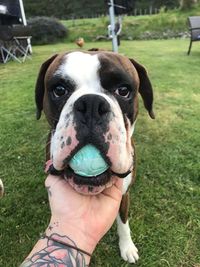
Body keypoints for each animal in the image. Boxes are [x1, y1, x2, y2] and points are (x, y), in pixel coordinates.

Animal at [34, 50, 155, 264]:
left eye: (123, 90)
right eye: (59, 90)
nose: (91, 104)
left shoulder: (124, 194)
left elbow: (123, 222)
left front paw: (127, 246)